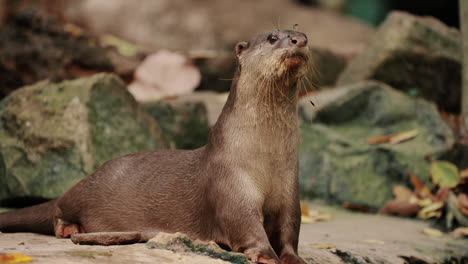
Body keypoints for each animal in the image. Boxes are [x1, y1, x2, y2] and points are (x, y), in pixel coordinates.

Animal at [1, 29, 312, 264]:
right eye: (272, 37)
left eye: (302, 33)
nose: (300, 40)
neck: (265, 159)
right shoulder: (231, 186)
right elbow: (245, 225)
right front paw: (266, 255)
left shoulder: (289, 191)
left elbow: (290, 227)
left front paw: (293, 258)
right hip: (84, 191)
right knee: (58, 206)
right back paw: (69, 228)